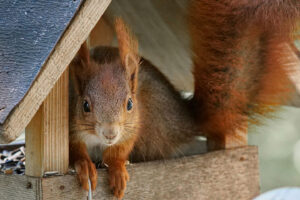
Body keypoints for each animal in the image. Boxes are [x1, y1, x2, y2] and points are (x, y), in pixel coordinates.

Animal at [68, 0, 300, 199]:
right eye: (85, 105)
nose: (110, 133)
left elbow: (121, 149)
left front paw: (116, 168)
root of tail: (185, 120)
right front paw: (85, 166)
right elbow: (75, 150)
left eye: (130, 104)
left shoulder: (132, 127)